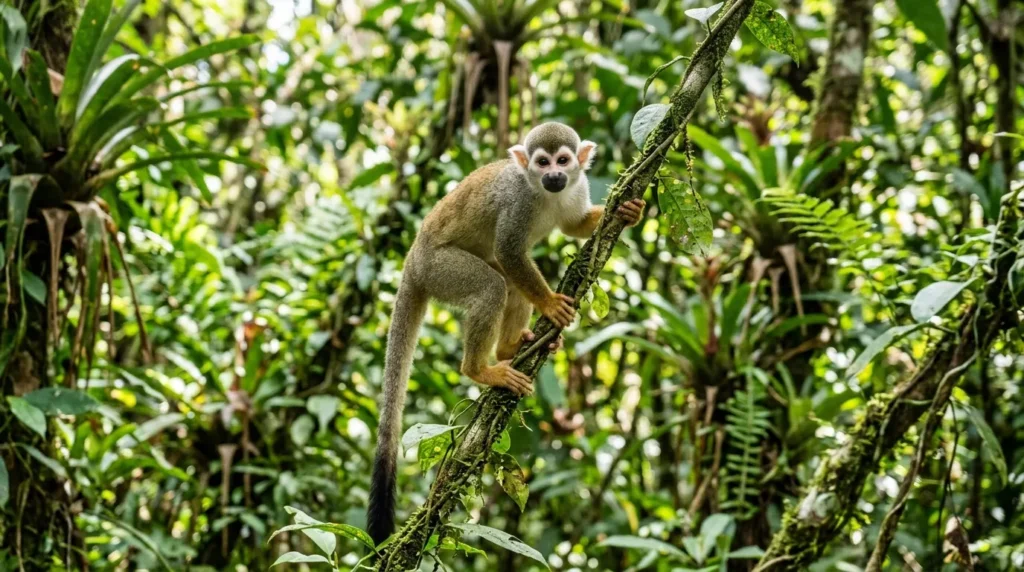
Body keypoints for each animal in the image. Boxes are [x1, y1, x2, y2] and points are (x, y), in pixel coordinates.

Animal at [366, 122, 645, 544]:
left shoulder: (577, 186)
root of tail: (412, 262)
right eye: (541, 162)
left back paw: (508, 349)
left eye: (563, 160)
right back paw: (481, 369)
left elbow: (573, 225)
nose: (554, 176)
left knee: (509, 285)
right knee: (493, 286)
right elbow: (510, 252)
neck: (545, 193)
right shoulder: (519, 203)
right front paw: (549, 304)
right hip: (439, 268)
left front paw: (626, 211)